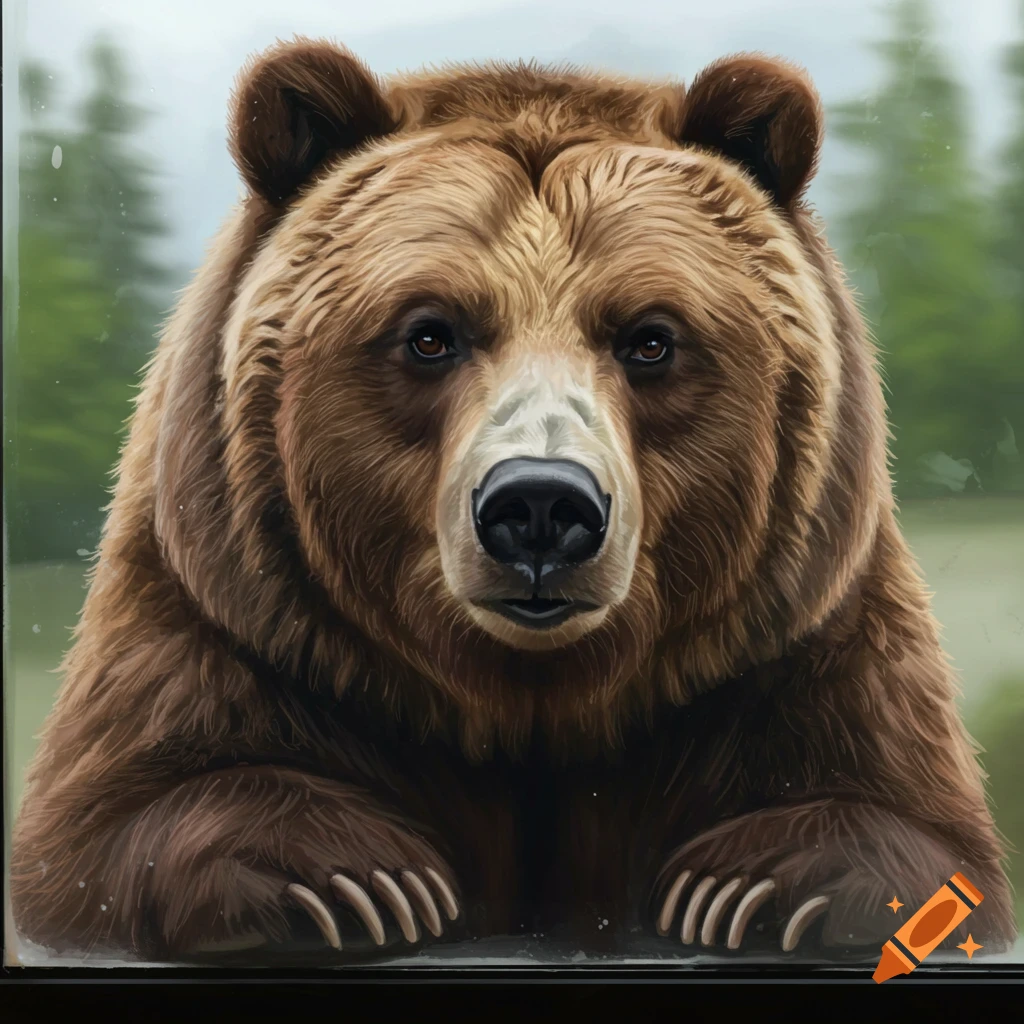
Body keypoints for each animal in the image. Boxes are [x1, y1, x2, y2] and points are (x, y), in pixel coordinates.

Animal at [9, 36, 1017, 964]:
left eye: (651, 337)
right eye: (429, 333)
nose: (539, 506)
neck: (530, 704)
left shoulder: (803, 637)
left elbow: (912, 824)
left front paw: (751, 885)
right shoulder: (230, 615)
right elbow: (102, 834)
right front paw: (356, 880)